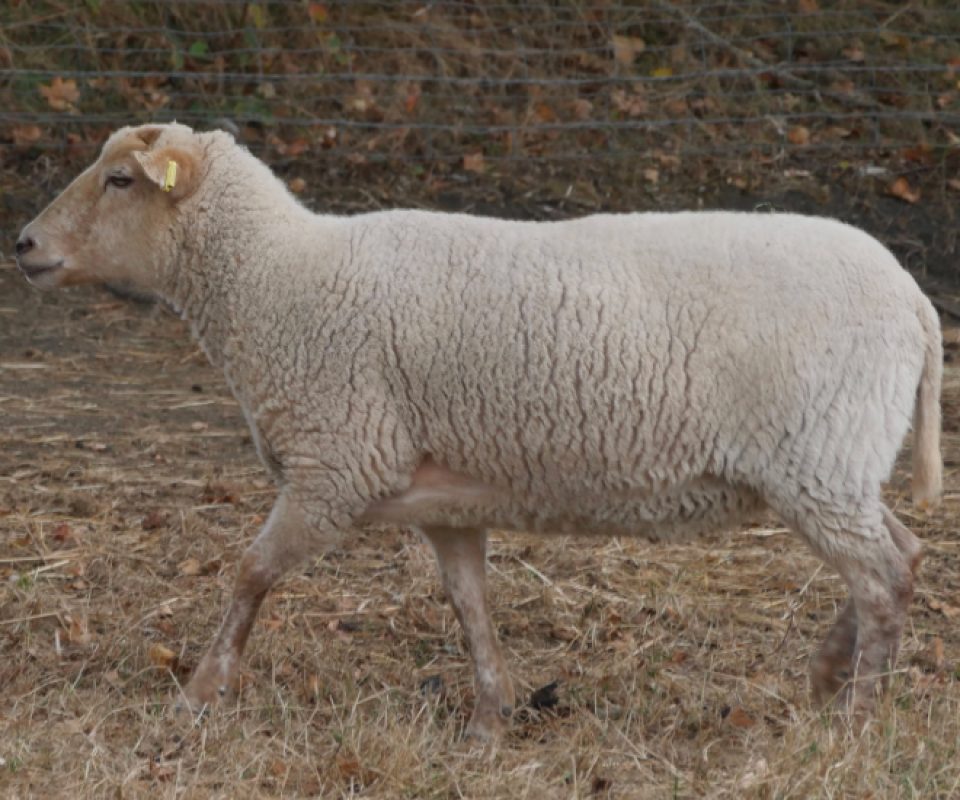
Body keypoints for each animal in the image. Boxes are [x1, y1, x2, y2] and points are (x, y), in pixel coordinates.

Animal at [15, 122, 942, 739]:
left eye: (121, 181)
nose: (22, 244)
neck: (276, 280)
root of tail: (915, 299)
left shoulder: (336, 464)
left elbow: (249, 576)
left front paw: (199, 694)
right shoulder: (444, 497)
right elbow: (470, 607)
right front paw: (491, 721)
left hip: (816, 453)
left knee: (883, 574)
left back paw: (856, 720)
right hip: (836, 462)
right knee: (902, 552)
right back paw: (828, 675)